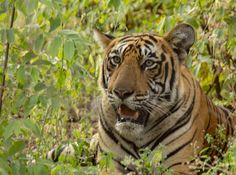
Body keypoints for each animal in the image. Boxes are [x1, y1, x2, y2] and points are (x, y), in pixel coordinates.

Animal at [47, 23, 235, 174]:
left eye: (148, 63)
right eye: (116, 60)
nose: (121, 92)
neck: (138, 137)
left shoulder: (179, 166)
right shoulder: (110, 163)